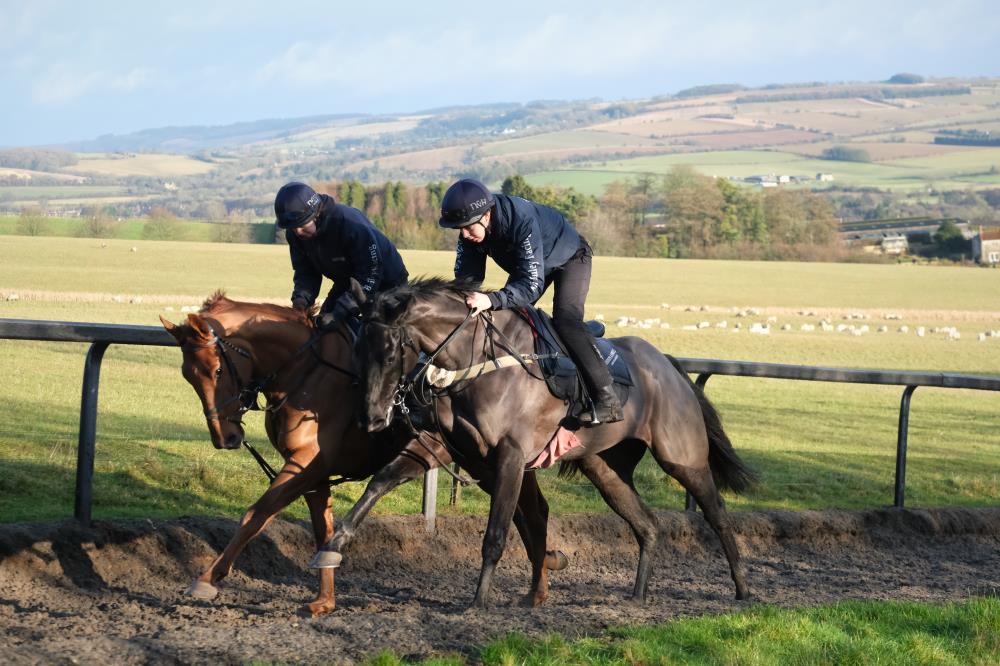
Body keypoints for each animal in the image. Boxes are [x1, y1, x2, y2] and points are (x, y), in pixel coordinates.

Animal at [161, 293, 568, 615]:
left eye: (216, 370)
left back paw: (539, 581)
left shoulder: (305, 465)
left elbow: (256, 513)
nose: (225, 437)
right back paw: (542, 579)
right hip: (486, 461)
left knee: (529, 513)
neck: (305, 373)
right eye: (187, 375)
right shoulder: (315, 474)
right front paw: (324, 599)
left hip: (487, 459)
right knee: (532, 511)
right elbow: (321, 529)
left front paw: (207, 578)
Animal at [335, 277, 756, 608]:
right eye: (356, 349)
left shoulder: (509, 456)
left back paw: (742, 588)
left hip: (682, 458)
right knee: (647, 524)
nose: (372, 418)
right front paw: (336, 543)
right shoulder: (442, 446)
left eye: (391, 353)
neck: (477, 362)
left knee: (717, 514)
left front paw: (478, 602)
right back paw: (638, 594)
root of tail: (667, 365)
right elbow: (380, 482)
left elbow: (497, 532)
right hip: (604, 467)